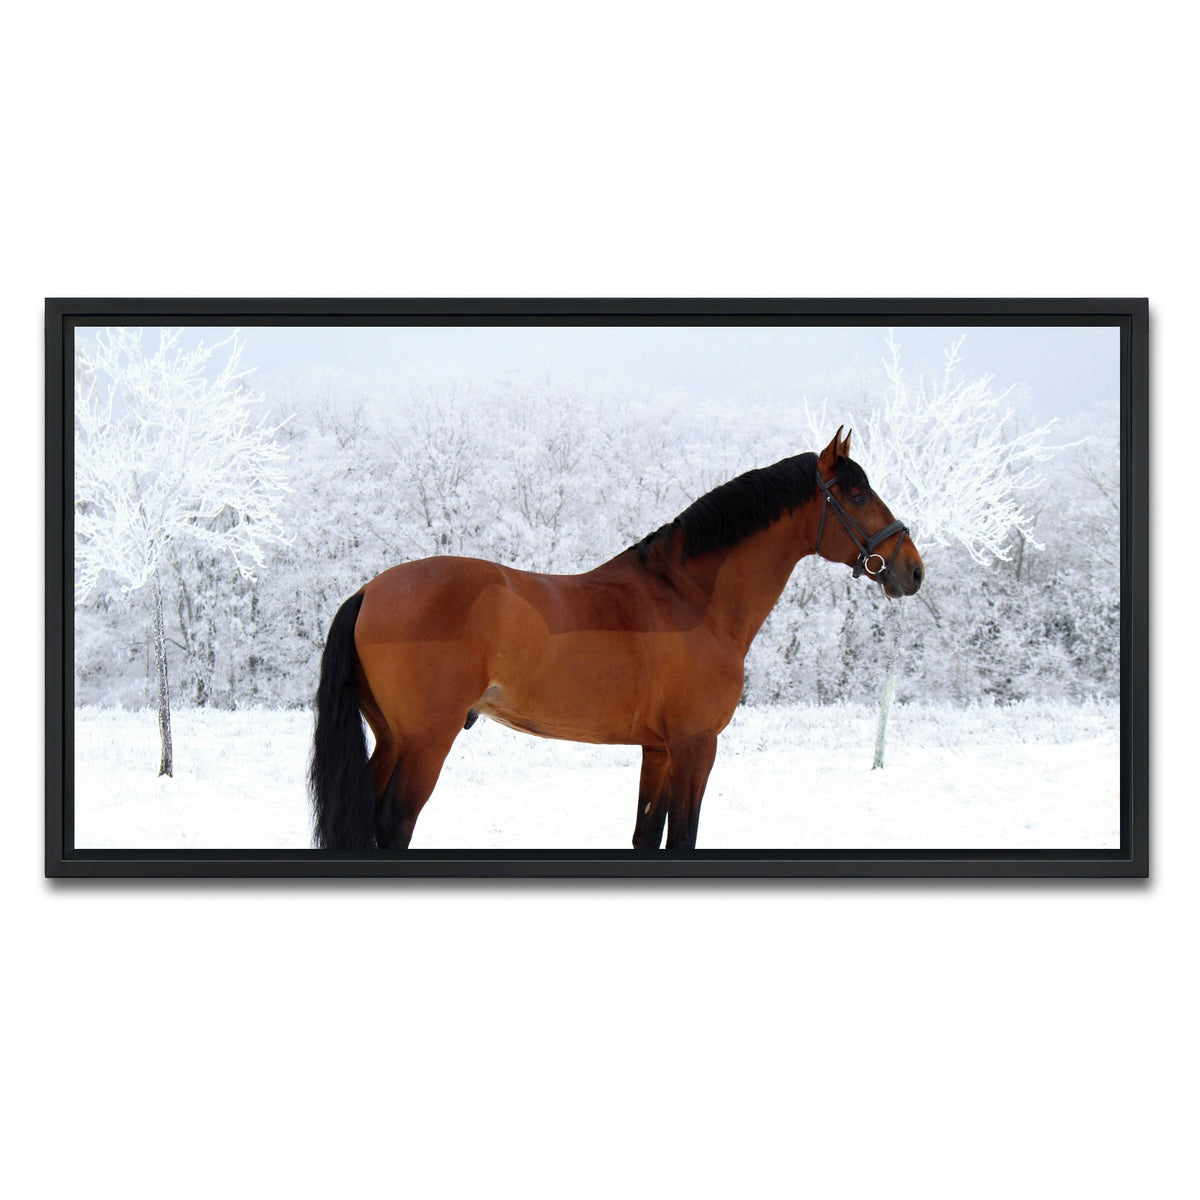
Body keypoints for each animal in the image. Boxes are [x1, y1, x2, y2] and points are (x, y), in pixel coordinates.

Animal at [310, 427, 923, 851]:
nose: (912, 569)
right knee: (393, 825)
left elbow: (646, 835)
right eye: (857, 494)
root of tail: (369, 591)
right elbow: (683, 837)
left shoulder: (658, 750)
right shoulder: (696, 746)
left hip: (391, 738)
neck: (688, 597)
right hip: (425, 743)